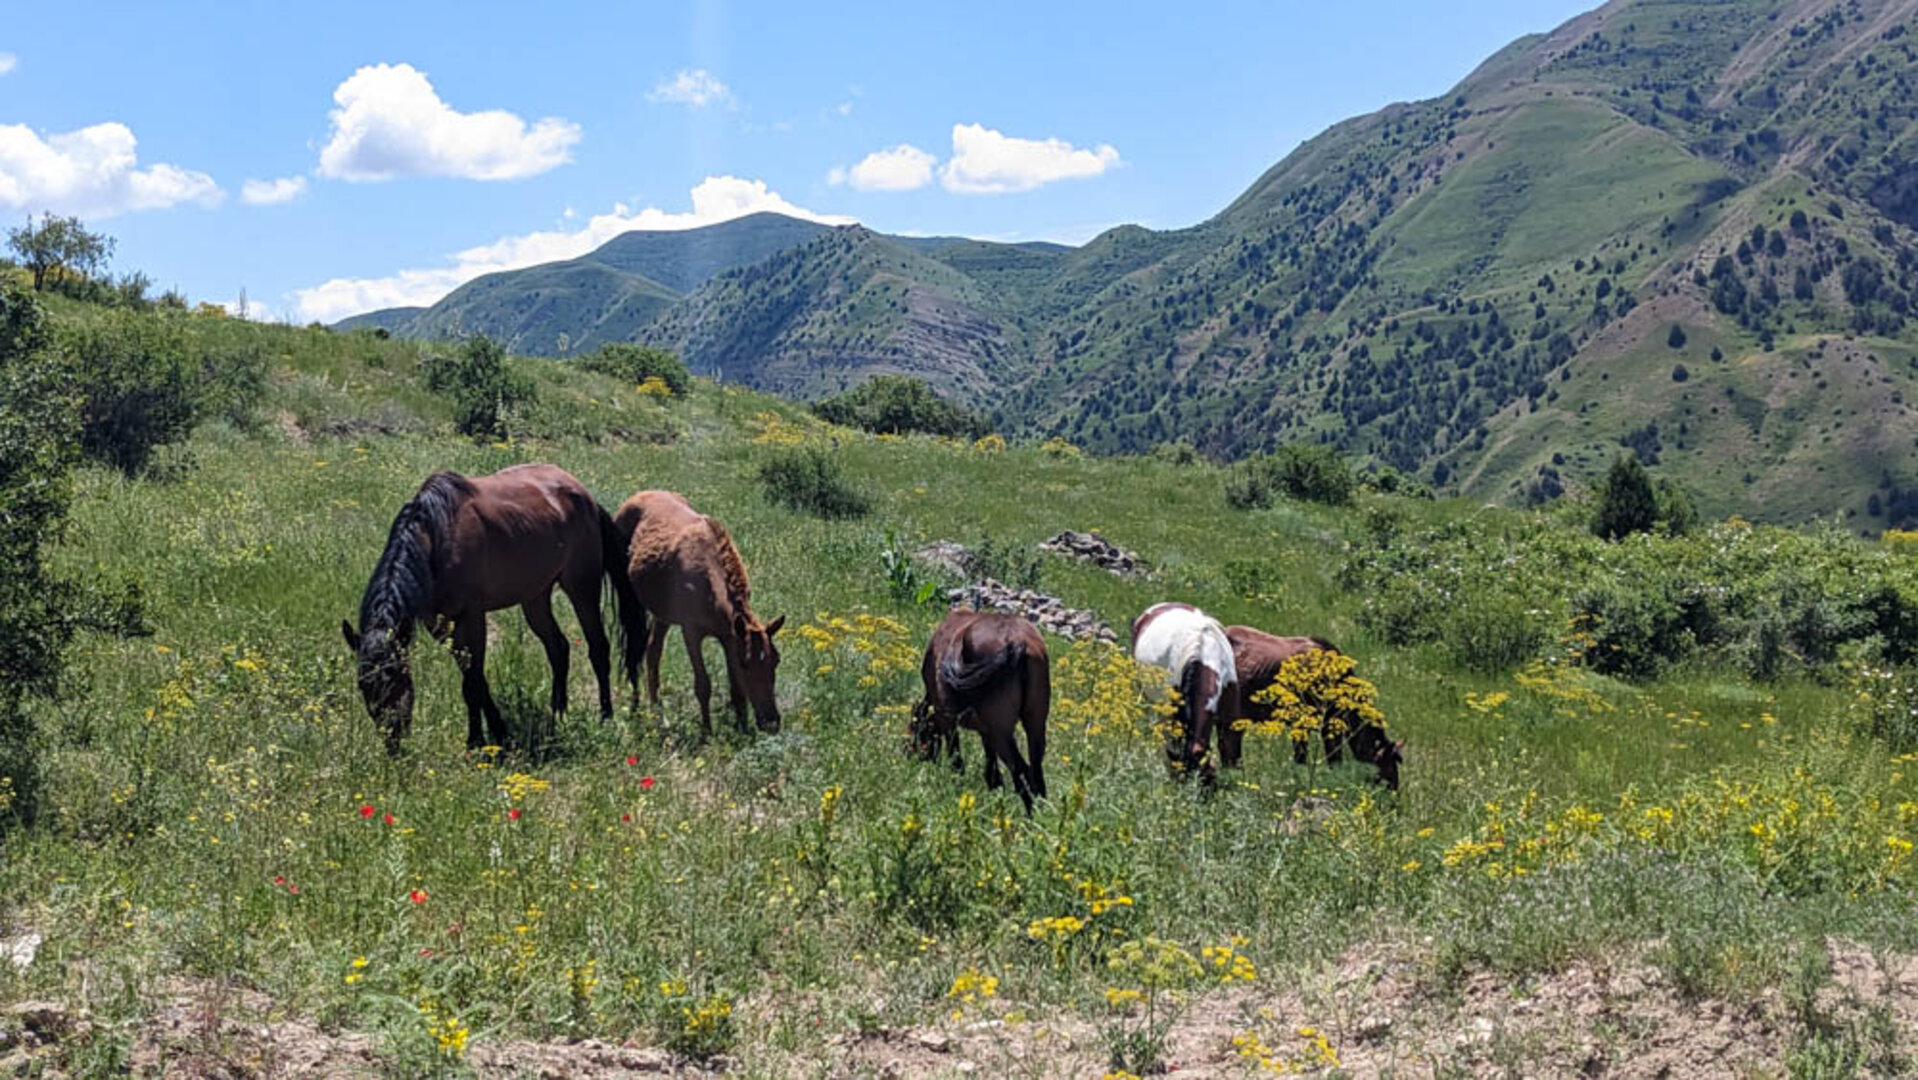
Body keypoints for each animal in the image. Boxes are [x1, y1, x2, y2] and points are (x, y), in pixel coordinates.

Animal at [340, 464, 640, 753]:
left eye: (394, 676)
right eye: (362, 684)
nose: (392, 740)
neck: (437, 539)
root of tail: (585, 495)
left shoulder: (472, 616)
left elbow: (472, 682)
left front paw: (478, 739)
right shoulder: (439, 624)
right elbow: (475, 678)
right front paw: (497, 731)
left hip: (581, 587)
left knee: (598, 648)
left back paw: (605, 716)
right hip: (535, 598)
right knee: (558, 648)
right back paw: (558, 714)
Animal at [610, 490, 785, 737]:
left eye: (776, 661)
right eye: (745, 664)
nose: (771, 722)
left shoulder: (729, 636)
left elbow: (736, 689)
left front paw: (742, 728)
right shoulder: (691, 631)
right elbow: (703, 685)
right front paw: (707, 732)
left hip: (662, 614)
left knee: (652, 652)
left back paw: (658, 715)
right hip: (632, 601)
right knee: (635, 653)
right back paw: (636, 710)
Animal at [910, 611, 1050, 814]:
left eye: (913, 729)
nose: (908, 753)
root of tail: (1018, 643)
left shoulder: (948, 722)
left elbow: (957, 762)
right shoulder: (986, 733)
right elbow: (992, 774)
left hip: (1002, 733)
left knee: (1021, 771)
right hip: (1035, 724)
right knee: (1036, 771)